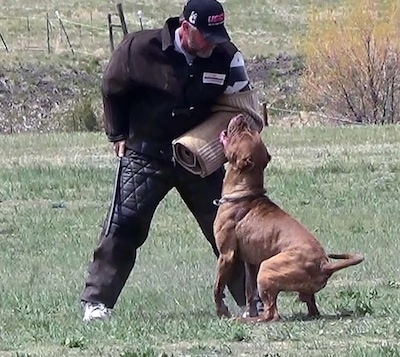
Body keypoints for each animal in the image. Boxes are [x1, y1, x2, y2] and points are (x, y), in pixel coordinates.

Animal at [214, 114, 364, 322]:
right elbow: (250, 292)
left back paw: (251, 320)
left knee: (272, 313)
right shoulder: (250, 263)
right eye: (248, 130)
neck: (244, 191)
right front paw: (249, 309)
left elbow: (217, 287)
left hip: (267, 268)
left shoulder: (227, 256)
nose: (242, 117)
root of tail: (325, 265)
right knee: (310, 307)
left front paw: (222, 311)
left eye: (243, 133)